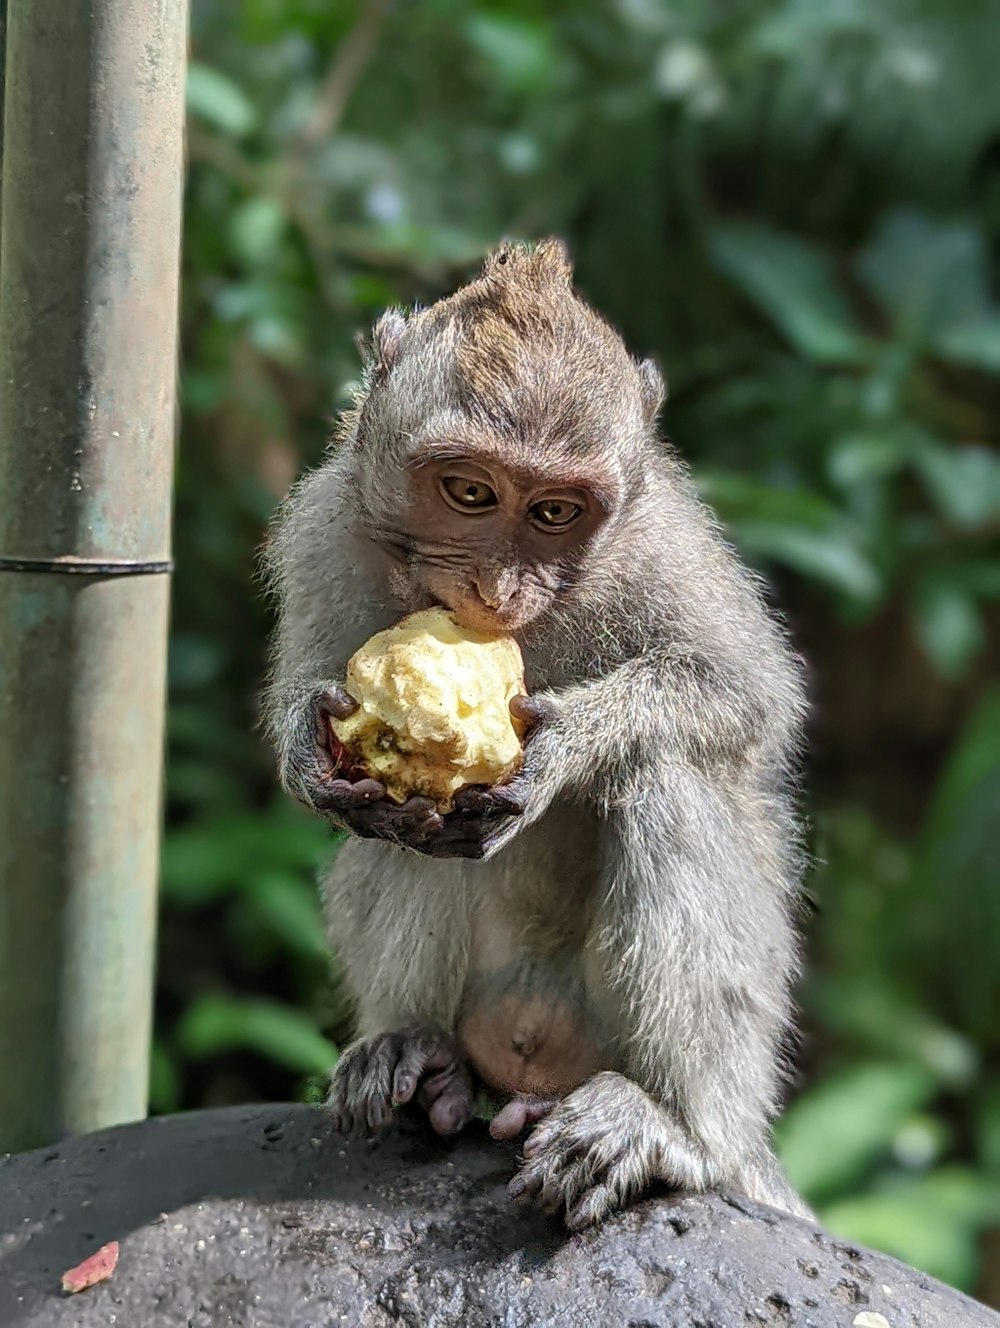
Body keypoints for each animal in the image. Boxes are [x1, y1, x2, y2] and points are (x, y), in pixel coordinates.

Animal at [265, 236, 812, 1221]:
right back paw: (422, 1059)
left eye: (555, 511)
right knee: (402, 833)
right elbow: (320, 683)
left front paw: (564, 746)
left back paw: (679, 1127)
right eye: (470, 492)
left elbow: (744, 692)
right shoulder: (327, 527)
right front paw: (306, 744)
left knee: (665, 777)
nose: (498, 589)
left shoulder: (662, 547)